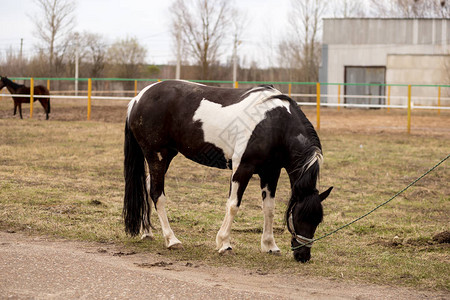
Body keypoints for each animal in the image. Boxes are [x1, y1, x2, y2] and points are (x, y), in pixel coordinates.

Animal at [122, 80, 330, 262]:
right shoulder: (242, 168)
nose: (303, 256)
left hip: (166, 155)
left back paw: (147, 232)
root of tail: (137, 99)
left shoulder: (271, 172)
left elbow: (269, 208)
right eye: (299, 217)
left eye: (317, 220)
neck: (274, 124)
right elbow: (233, 205)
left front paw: (270, 245)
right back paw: (172, 240)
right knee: (157, 193)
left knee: (148, 185)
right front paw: (224, 243)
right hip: (157, 155)